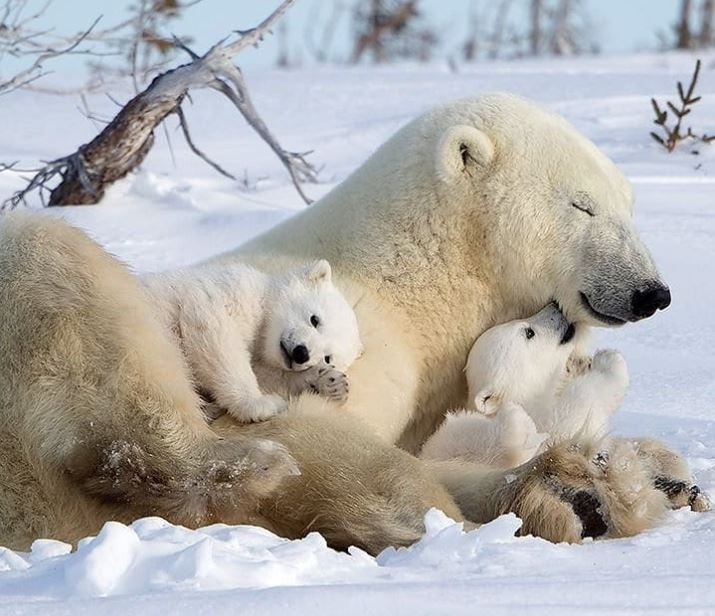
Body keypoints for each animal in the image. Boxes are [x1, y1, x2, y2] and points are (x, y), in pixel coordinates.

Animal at [0, 92, 672, 552]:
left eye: (629, 202)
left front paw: (608, 482)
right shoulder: (360, 345)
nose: (652, 292)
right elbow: (327, 439)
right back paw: (247, 463)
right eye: (581, 205)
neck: (413, 276)